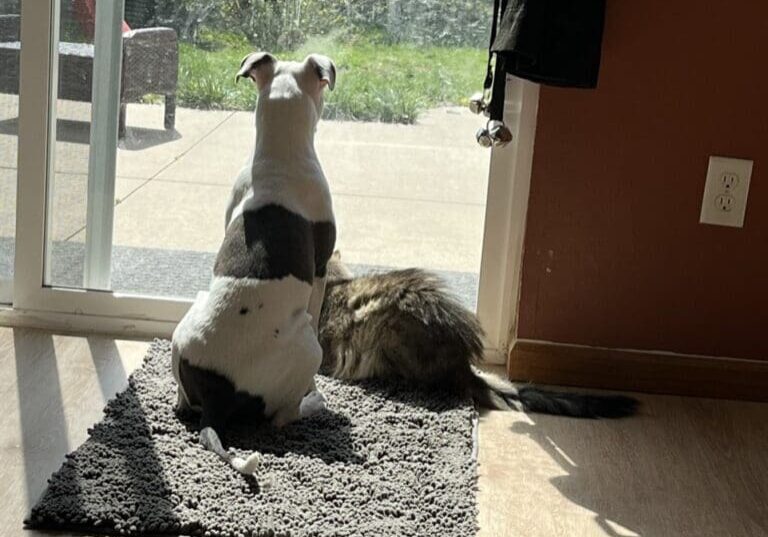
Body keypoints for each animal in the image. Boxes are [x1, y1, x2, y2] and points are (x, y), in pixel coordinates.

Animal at [174, 51, 336, 474]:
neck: (281, 156)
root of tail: (217, 394)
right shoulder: (320, 272)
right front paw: (316, 390)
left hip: (188, 321)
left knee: (182, 402)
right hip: (307, 346)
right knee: (281, 416)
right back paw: (313, 403)